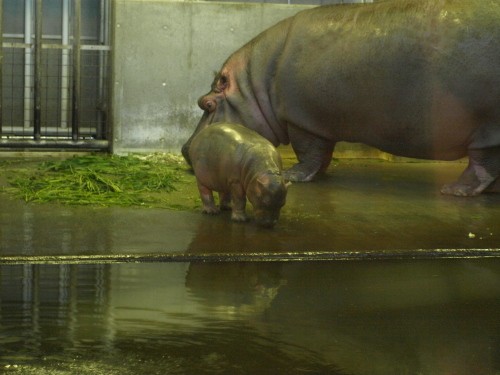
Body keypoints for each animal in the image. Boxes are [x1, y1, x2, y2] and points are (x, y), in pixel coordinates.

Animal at [183, 0, 500, 198]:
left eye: (206, 103)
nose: (186, 149)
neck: (255, 84)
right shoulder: (318, 120)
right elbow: (323, 153)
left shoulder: (301, 118)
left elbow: (308, 152)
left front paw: (292, 175)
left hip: (485, 126)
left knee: (482, 165)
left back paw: (455, 190)